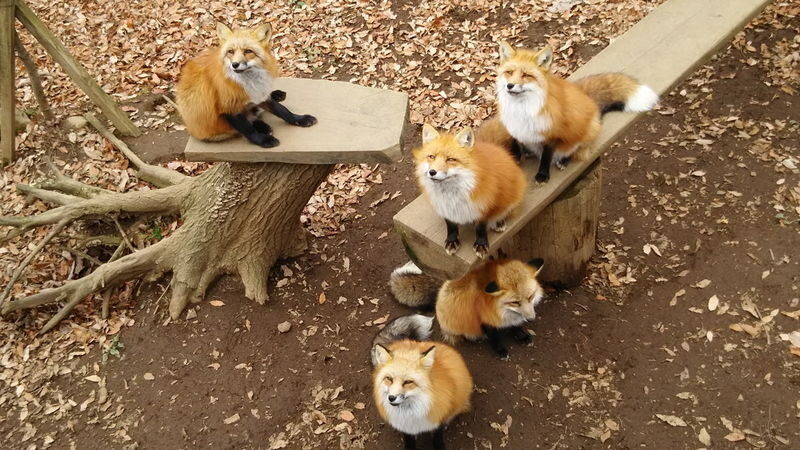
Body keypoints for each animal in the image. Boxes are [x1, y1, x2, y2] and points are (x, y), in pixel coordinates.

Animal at [175, 22, 316, 148]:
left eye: (248, 51)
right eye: (230, 52)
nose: (235, 64)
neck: (248, 83)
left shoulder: (259, 94)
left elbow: (283, 111)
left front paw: (300, 119)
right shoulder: (229, 108)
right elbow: (248, 130)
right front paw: (263, 141)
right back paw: (263, 127)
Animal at [371, 314, 473, 450]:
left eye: (408, 382)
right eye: (389, 379)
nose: (391, 398)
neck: (412, 413)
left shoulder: (438, 419)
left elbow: (438, 439)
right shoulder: (406, 427)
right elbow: (409, 441)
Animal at [389, 259, 545, 359]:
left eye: (531, 297)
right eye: (515, 302)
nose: (532, 319)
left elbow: (515, 325)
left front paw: (521, 334)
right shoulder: (484, 320)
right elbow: (495, 337)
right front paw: (500, 350)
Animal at [412, 125, 526, 258]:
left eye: (451, 159)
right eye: (431, 157)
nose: (432, 172)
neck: (451, 195)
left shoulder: (483, 205)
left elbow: (481, 228)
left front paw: (481, 244)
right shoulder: (444, 207)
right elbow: (451, 226)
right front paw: (452, 241)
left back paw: (498, 222)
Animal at [491, 41, 659, 183]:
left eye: (526, 75)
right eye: (509, 72)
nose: (510, 85)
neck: (521, 110)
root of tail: (588, 99)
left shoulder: (553, 133)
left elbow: (546, 156)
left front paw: (542, 175)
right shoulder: (513, 127)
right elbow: (514, 142)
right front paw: (515, 157)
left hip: (585, 134)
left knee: (577, 150)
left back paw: (563, 160)